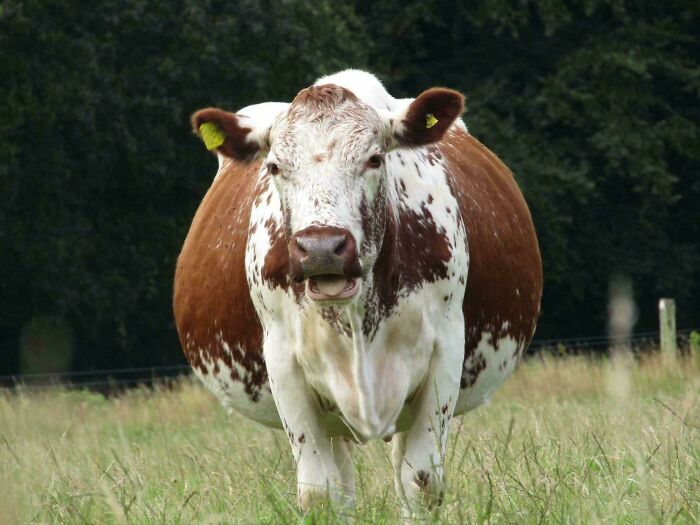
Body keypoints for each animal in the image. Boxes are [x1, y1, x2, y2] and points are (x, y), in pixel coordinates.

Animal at [174, 69, 542, 515]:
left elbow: (421, 483)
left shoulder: (446, 350)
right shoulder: (283, 363)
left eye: (374, 158)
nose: (321, 247)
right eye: (275, 166)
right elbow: (319, 491)